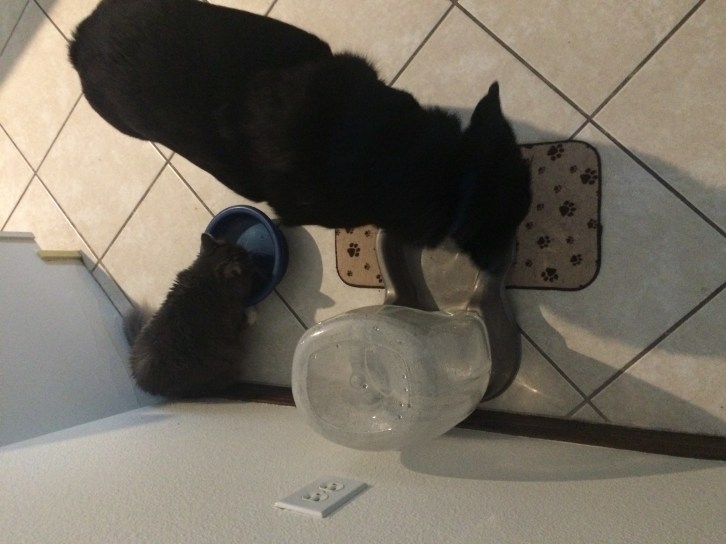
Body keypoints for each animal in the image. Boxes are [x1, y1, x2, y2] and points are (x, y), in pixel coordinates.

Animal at [124, 233, 258, 398]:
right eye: (246, 261)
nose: (250, 254)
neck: (206, 279)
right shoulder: (231, 323)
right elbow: (245, 319)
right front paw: (253, 312)